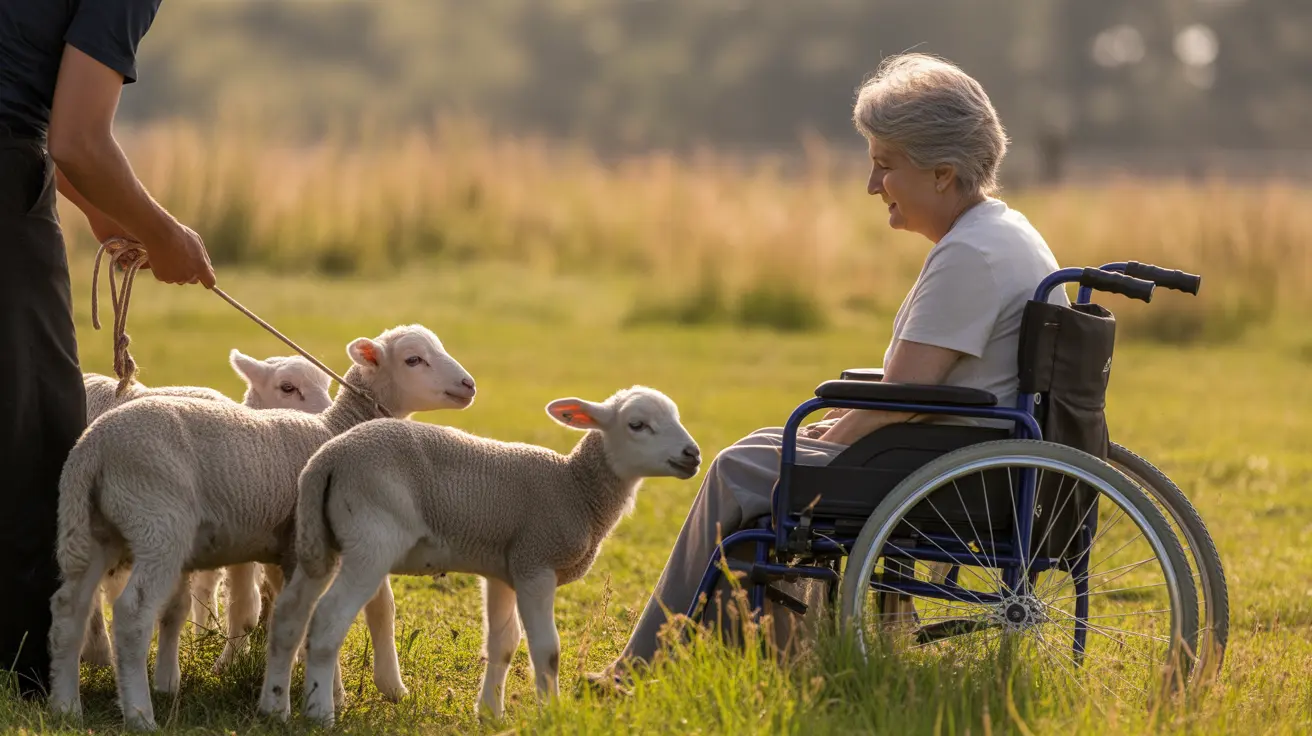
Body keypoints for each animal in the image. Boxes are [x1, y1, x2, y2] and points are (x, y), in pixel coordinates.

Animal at [256, 385, 701, 724]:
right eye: (637, 425)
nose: (693, 455)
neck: (574, 487)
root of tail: (325, 460)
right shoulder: (535, 563)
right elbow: (547, 649)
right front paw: (551, 713)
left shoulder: (505, 569)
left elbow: (503, 643)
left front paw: (489, 714)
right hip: (372, 540)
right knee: (328, 619)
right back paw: (320, 714)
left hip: (320, 540)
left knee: (290, 615)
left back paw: (273, 707)